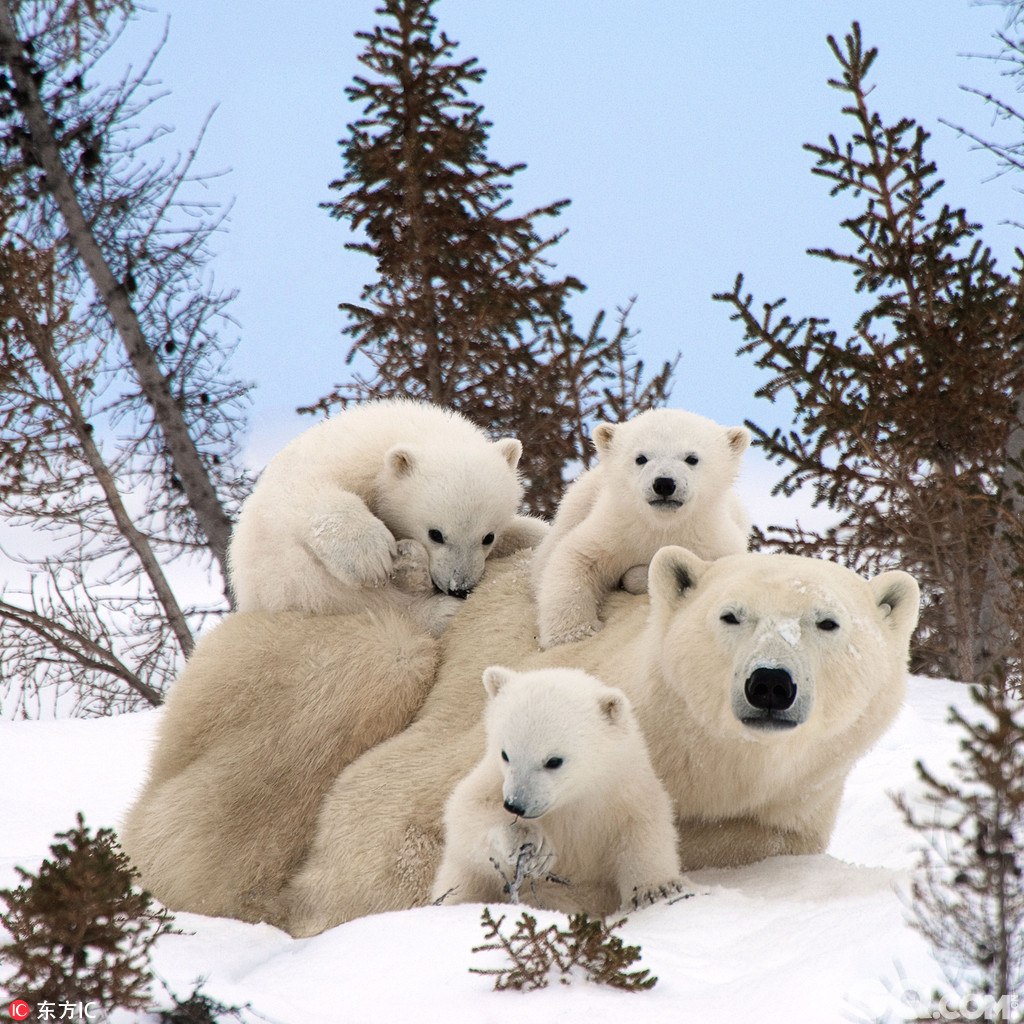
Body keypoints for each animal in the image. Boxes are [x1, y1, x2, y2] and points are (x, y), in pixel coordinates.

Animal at [224, 397, 544, 630]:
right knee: (353, 598)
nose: (459, 588)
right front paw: (370, 557)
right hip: (290, 582)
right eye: (436, 534)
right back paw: (434, 603)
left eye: (488, 536)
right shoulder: (333, 461)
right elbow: (310, 491)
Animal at [428, 667, 684, 917]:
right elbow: (466, 813)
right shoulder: (492, 779)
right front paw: (530, 842)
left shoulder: (624, 791)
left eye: (553, 761)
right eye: (505, 754)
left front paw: (655, 890)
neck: (572, 800)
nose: (515, 804)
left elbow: (644, 829)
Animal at [532, 407, 749, 647]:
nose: (664, 483)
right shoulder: (615, 529)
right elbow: (576, 558)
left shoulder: (712, 541)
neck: (662, 526)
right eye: (641, 458)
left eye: (692, 458)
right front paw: (575, 632)